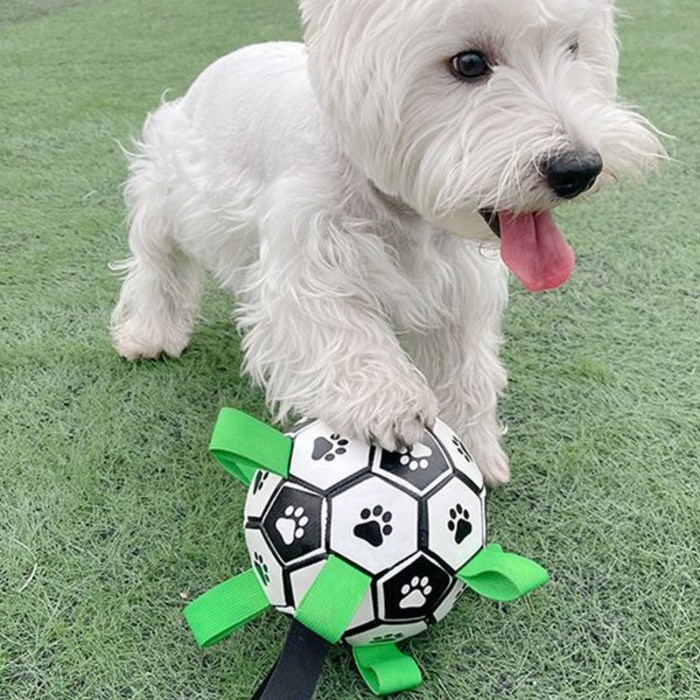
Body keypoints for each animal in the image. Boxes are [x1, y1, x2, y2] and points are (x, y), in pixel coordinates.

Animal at [110, 0, 660, 484]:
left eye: (573, 48)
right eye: (468, 63)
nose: (578, 169)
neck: (403, 211)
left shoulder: (457, 285)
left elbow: (466, 368)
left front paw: (476, 450)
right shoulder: (309, 255)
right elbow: (340, 327)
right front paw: (390, 404)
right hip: (166, 191)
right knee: (157, 263)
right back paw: (148, 335)